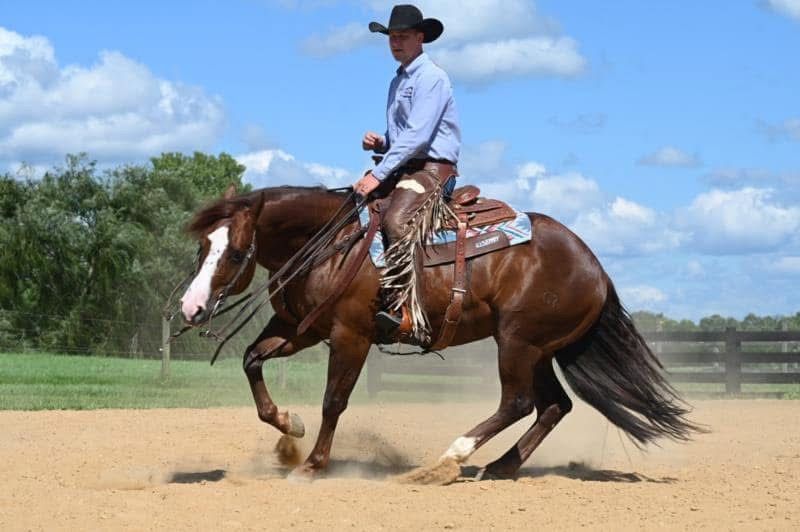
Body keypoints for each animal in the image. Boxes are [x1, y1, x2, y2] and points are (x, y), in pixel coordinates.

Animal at [177, 184, 699, 481]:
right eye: (203, 246)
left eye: (235, 253)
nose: (191, 306)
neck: (329, 245)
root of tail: (596, 268)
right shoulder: (298, 329)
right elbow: (252, 359)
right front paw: (290, 430)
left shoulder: (350, 335)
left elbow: (334, 401)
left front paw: (311, 465)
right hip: (539, 349)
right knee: (553, 405)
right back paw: (499, 467)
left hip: (518, 341)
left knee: (519, 402)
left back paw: (449, 458)